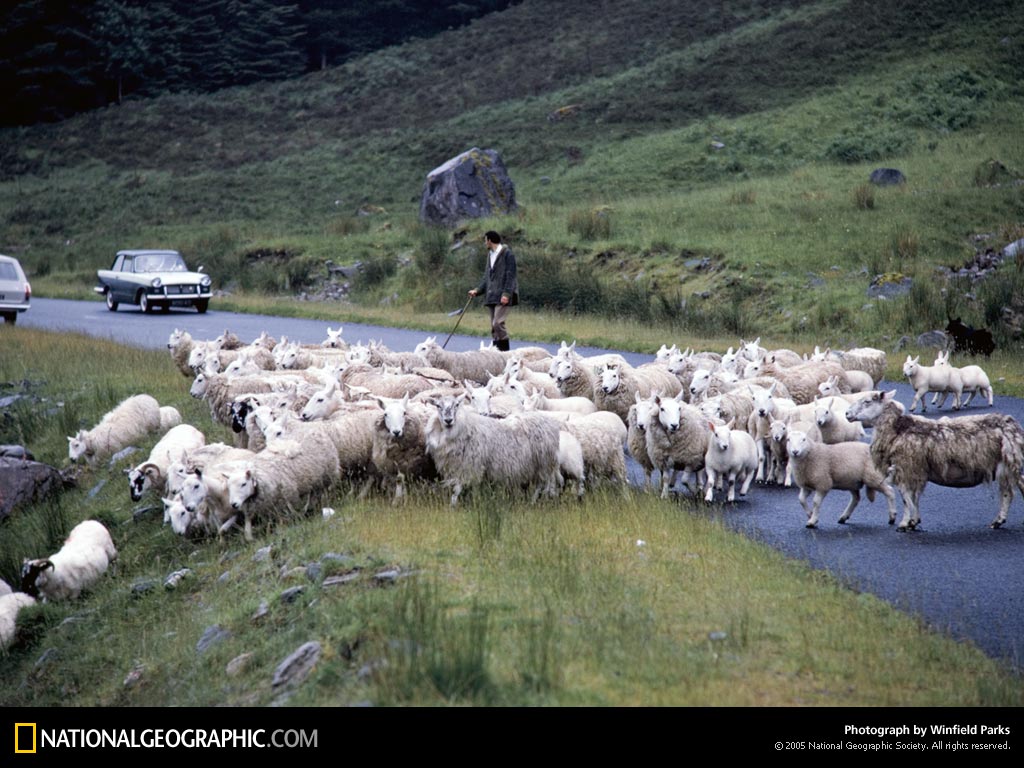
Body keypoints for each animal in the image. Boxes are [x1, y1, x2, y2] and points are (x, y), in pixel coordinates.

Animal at [423, 393, 561, 507]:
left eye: (456, 405)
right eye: (438, 406)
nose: (448, 420)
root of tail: (550, 423)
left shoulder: (469, 466)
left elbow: (457, 490)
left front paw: (453, 506)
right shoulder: (461, 467)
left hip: (544, 462)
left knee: (541, 484)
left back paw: (533, 501)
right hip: (537, 464)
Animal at [843, 393, 1024, 532]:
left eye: (867, 401)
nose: (846, 414)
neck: (897, 429)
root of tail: (1012, 426)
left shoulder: (906, 468)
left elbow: (906, 497)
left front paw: (904, 523)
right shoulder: (916, 471)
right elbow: (914, 497)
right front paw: (914, 521)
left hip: (1009, 463)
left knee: (1010, 492)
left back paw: (998, 520)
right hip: (1009, 465)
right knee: (1013, 491)